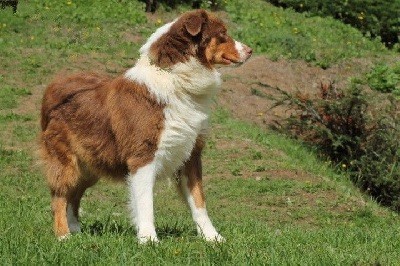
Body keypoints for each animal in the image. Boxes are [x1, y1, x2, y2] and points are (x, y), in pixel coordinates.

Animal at [39, 8, 252, 243]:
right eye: (222, 34)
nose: (250, 50)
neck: (176, 79)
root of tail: (56, 89)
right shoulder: (143, 156)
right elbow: (145, 203)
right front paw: (149, 240)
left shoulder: (190, 155)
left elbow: (199, 202)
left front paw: (212, 238)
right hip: (67, 163)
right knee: (59, 195)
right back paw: (63, 234)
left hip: (90, 166)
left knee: (74, 194)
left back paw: (75, 228)